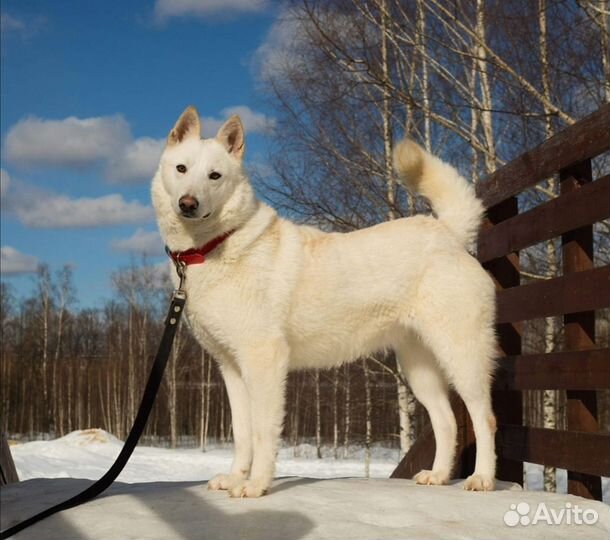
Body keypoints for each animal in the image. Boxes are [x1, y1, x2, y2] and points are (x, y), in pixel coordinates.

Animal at [151, 105, 494, 498]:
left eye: (215, 176)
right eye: (181, 169)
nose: (188, 204)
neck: (214, 246)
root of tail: (448, 232)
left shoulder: (264, 362)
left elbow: (262, 432)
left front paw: (256, 485)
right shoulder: (232, 369)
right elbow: (242, 434)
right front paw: (236, 478)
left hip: (462, 357)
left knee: (484, 418)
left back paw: (482, 478)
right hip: (418, 367)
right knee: (446, 420)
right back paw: (437, 476)